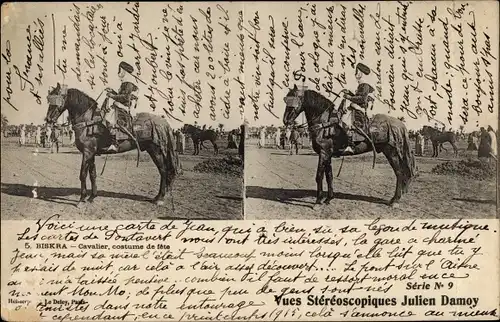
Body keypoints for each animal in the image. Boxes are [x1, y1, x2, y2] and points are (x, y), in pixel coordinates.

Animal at [44, 83, 179, 208]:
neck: (88, 121)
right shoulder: (91, 154)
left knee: (163, 170)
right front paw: (92, 197)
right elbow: (92, 174)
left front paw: (82, 199)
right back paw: (157, 197)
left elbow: (82, 174)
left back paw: (160, 198)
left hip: (156, 151)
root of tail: (164, 122)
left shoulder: (87, 152)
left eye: (57, 98)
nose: (48, 119)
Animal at [284, 85, 416, 206]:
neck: (325, 123)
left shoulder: (323, 153)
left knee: (399, 173)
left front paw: (318, 201)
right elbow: (329, 176)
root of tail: (400, 124)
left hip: (392, 153)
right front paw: (328, 199)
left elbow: (319, 176)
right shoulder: (328, 155)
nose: (286, 120)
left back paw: (395, 200)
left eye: (294, 99)